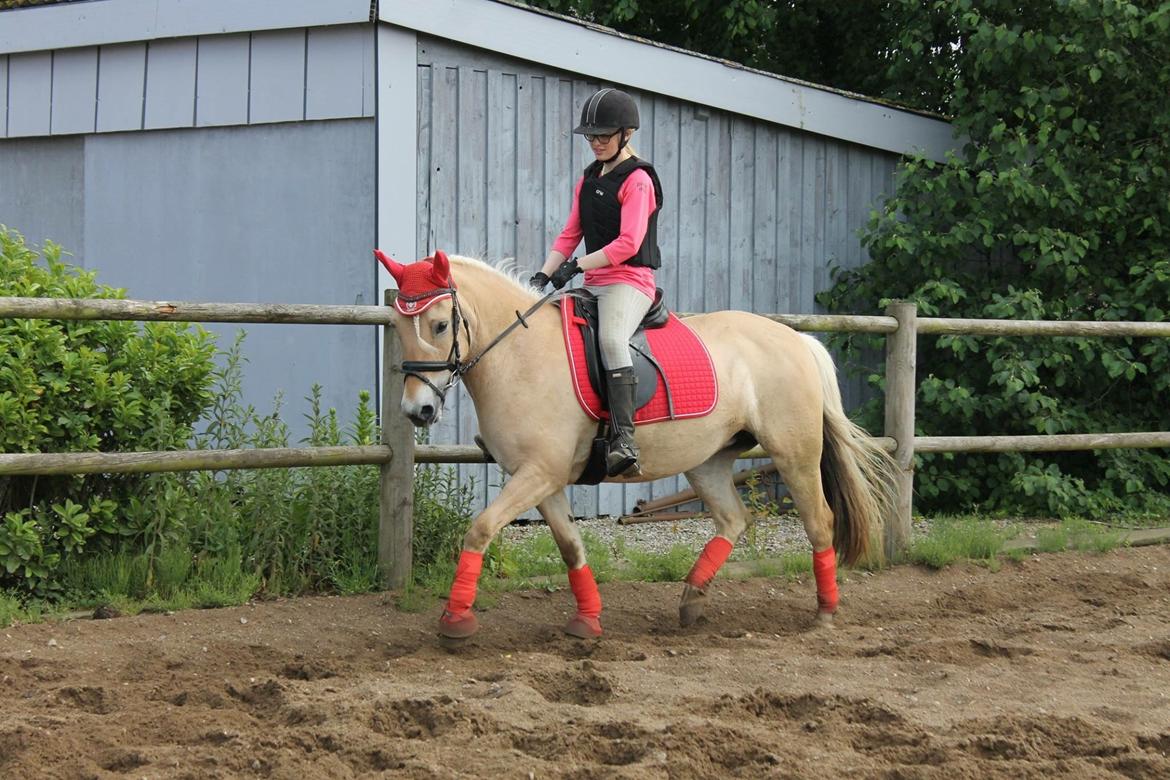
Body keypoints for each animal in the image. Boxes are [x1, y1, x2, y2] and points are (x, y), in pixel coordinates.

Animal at [374, 249, 893, 640]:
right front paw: (587, 621)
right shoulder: (543, 479)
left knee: (820, 521)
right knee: (733, 519)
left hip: (794, 453)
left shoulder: (538, 474)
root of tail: (798, 340)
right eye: (398, 328)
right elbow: (571, 547)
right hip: (707, 461)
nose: (418, 411)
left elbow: (480, 529)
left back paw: (825, 612)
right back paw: (691, 600)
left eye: (440, 325)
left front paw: (455, 621)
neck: (520, 356)